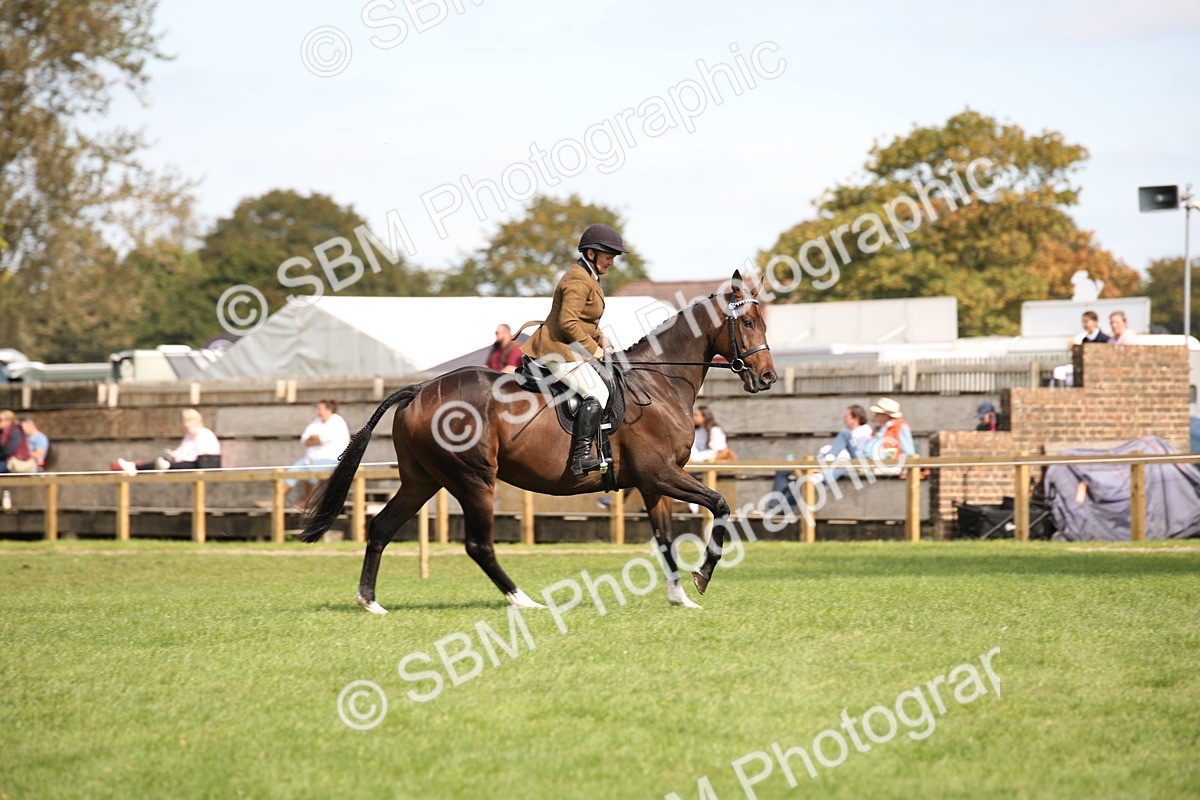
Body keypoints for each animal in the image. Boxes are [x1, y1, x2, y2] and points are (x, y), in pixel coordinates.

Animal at [298, 270, 777, 613]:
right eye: (747, 322)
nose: (767, 377)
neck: (658, 384)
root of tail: (419, 390)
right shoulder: (660, 473)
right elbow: (719, 505)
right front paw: (703, 577)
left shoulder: (651, 482)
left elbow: (664, 538)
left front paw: (681, 598)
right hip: (474, 479)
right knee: (478, 545)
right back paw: (524, 600)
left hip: (423, 480)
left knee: (381, 527)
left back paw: (370, 602)